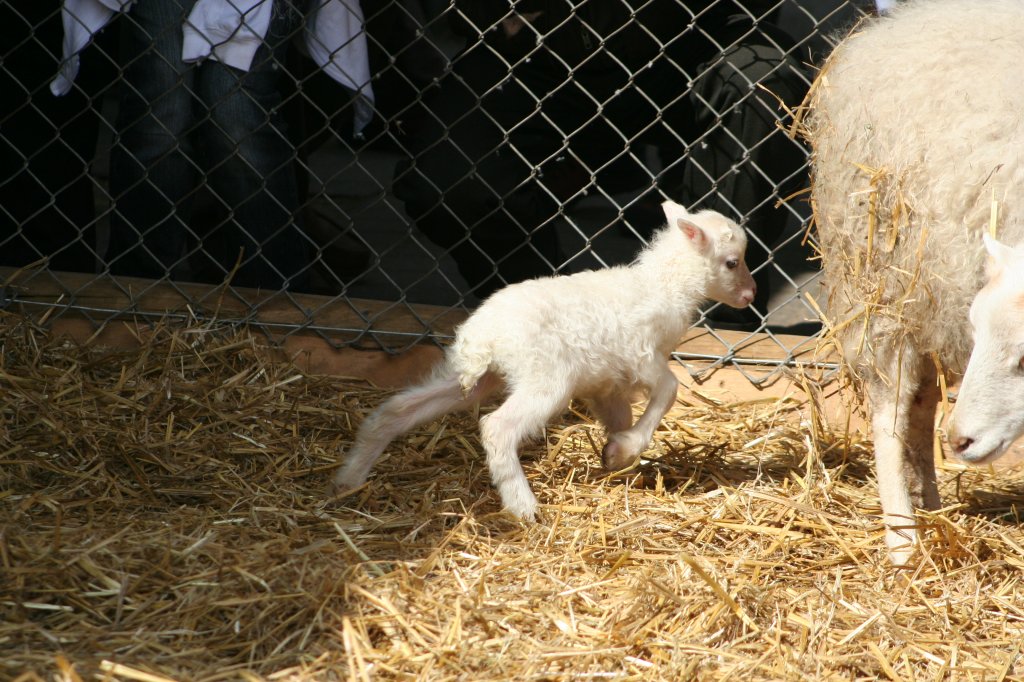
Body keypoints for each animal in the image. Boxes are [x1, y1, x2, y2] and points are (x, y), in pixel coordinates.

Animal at [331, 199, 757, 518]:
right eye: (732, 262)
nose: (750, 295)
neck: (665, 287)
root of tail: (485, 337)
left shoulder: (607, 384)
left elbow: (621, 417)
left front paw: (616, 456)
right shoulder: (642, 356)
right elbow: (669, 391)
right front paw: (627, 448)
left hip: (474, 377)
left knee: (396, 410)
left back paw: (349, 478)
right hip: (546, 379)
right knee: (496, 428)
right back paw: (523, 507)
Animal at [806, 0, 1024, 561]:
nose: (961, 441)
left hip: (928, 297)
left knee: (922, 406)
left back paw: (932, 507)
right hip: (881, 284)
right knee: (890, 411)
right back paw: (903, 538)